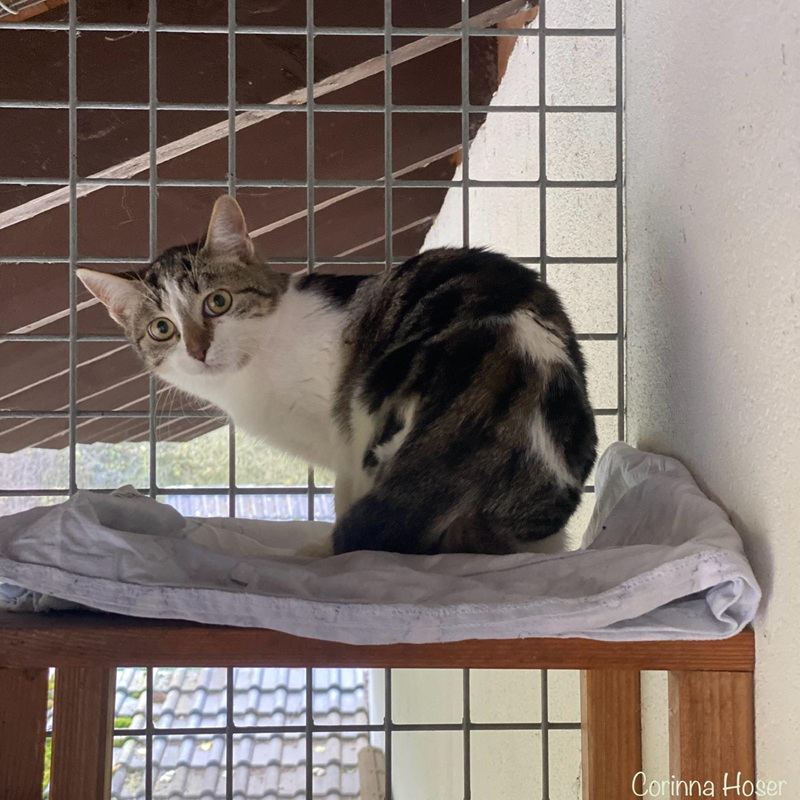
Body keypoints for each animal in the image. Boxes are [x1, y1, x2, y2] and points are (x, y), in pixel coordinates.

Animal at [77, 195, 597, 557]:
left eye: (218, 302)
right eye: (162, 328)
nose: (198, 349)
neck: (253, 372)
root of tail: (515, 361)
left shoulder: (344, 444)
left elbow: (346, 500)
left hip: (372, 408)